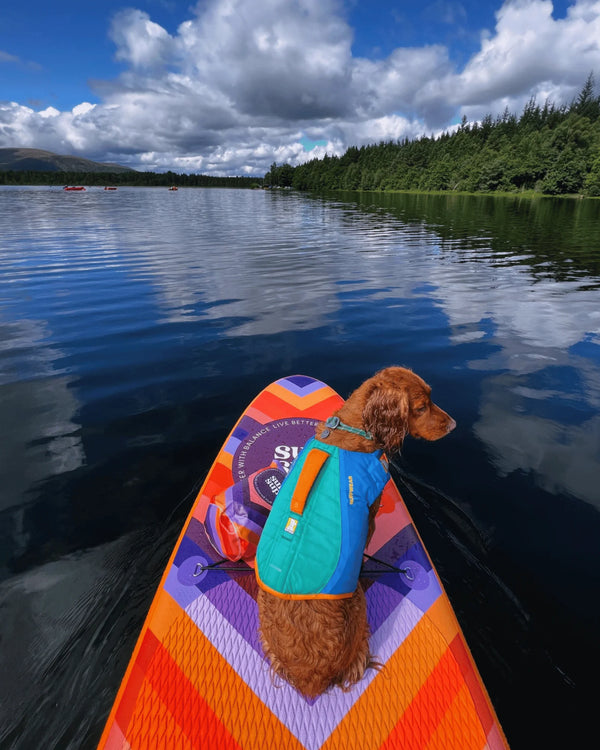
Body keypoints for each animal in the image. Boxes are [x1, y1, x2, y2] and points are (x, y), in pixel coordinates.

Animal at [254, 368, 454, 700]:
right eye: (421, 407)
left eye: (430, 397)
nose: (453, 425)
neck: (355, 428)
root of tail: (310, 679)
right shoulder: (369, 512)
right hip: (358, 605)